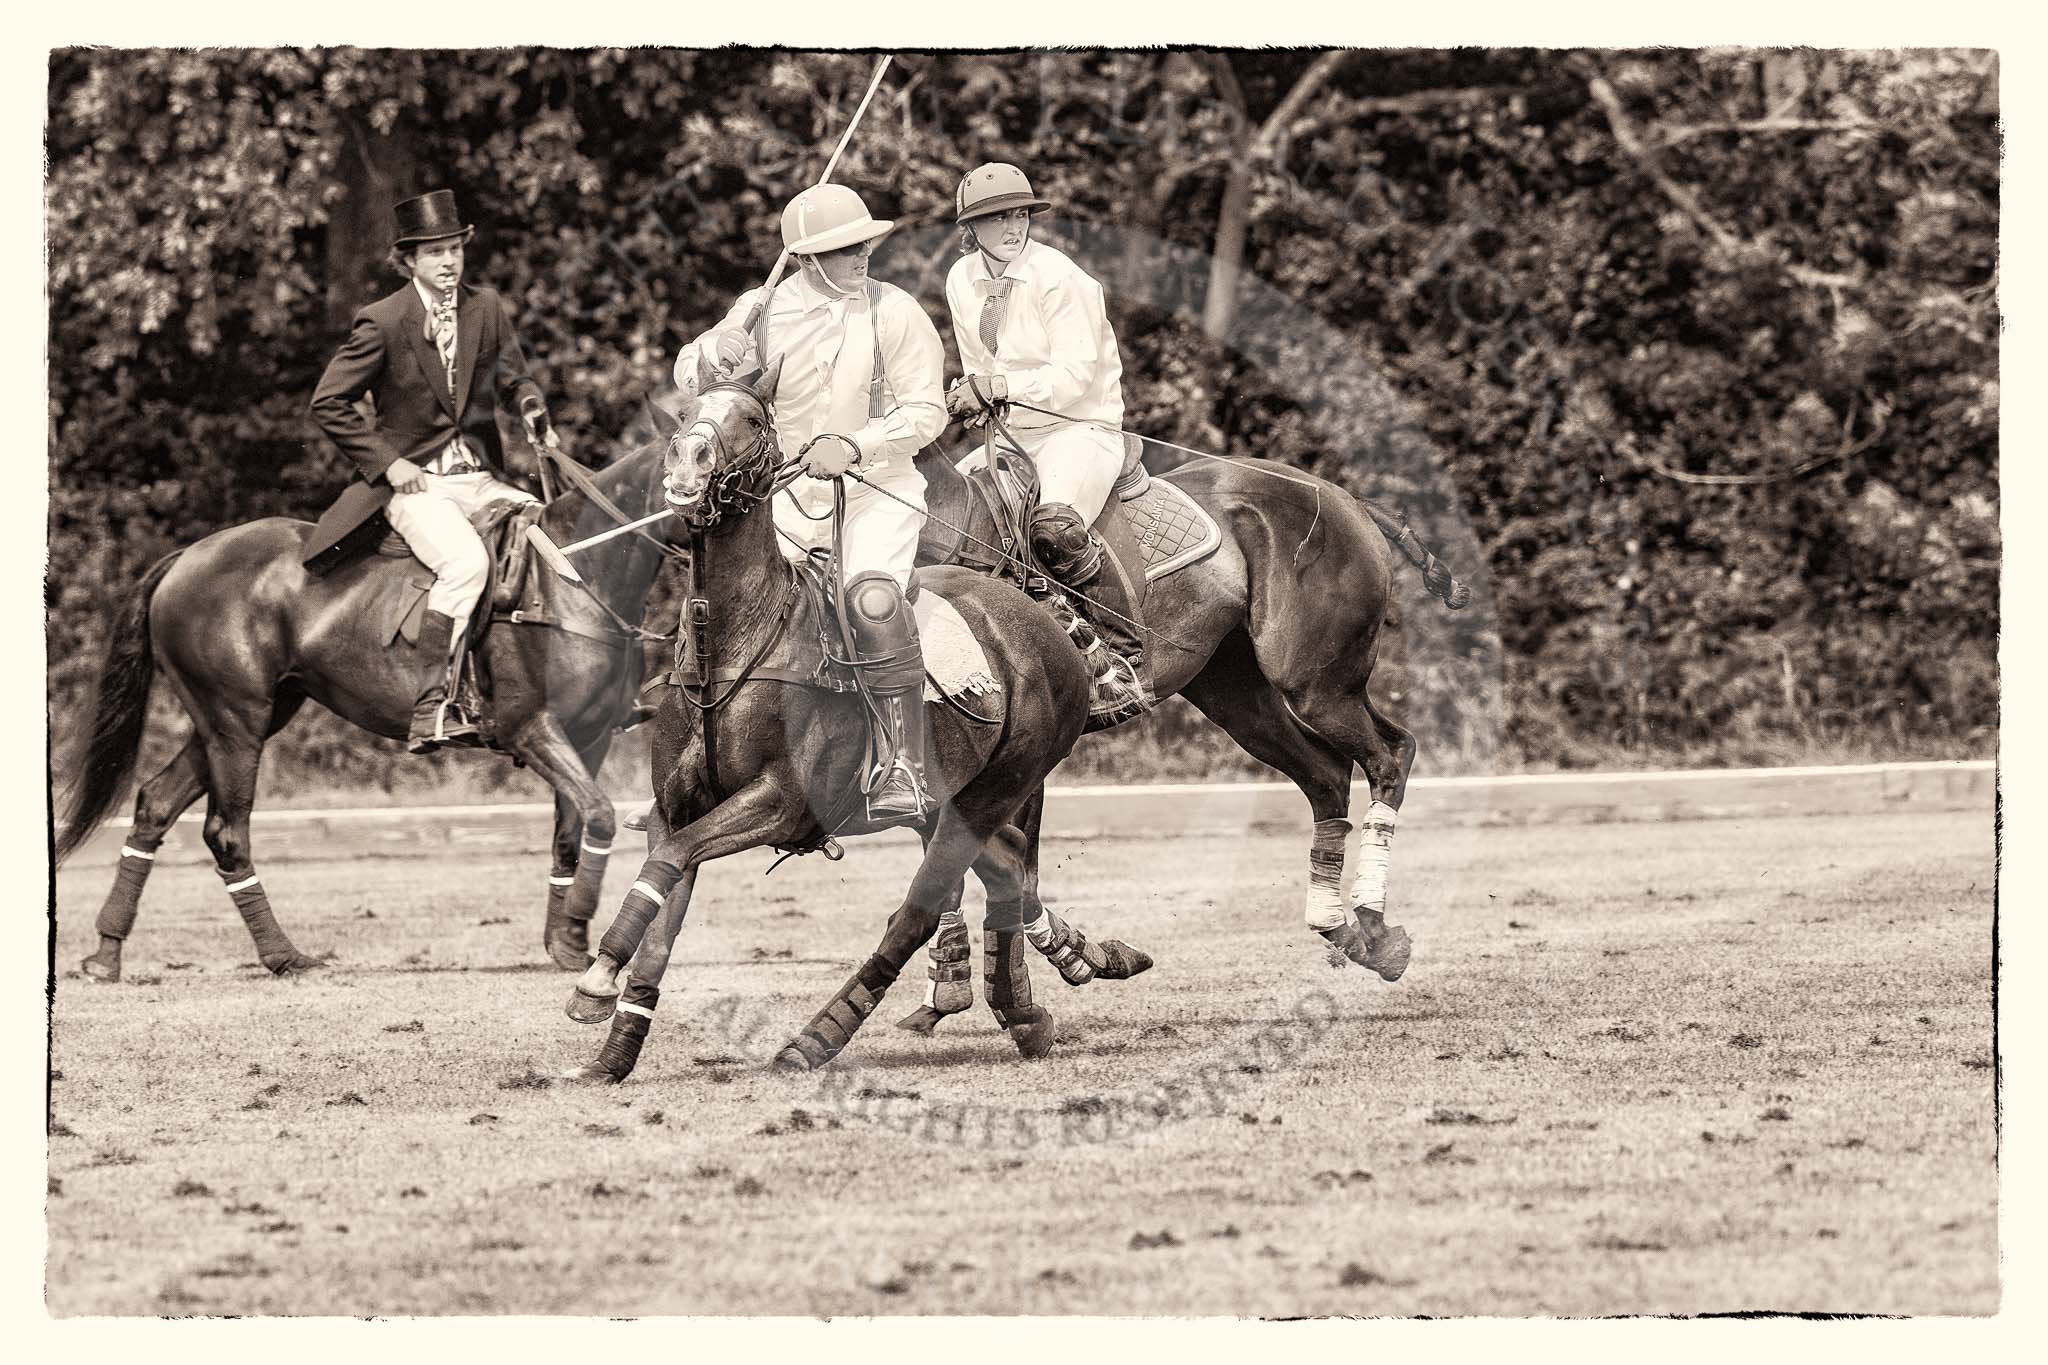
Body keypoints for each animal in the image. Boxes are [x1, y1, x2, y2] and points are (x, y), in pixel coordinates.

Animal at [48, 427, 684, 982]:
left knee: (155, 804)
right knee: (227, 832)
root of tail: (183, 558)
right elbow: (599, 813)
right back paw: (284, 956)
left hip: (245, 715)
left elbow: (571, 834)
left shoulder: (588, 737)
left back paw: (106, 953)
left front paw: (565, 942)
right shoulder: (530, 728)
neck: (575, 581)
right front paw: (577, 935)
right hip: (234, 718)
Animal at [561, 366, 1163, 1088]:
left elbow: (669, 861)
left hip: (997, 783)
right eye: (685, 414)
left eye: (754, 420)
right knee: (1008, 868)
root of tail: (1045, 618)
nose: (688, 463)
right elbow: (664, 896)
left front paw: (595, 980)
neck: (735, 642)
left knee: (923, 909)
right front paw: (613, 1047)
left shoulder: (782, 803)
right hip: (952, 801)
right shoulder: (676, 807)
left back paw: (817, 1037)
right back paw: (1047, 994)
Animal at [897, 427, 1474, 1035]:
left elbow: (1007, 870)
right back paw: (1346, 930)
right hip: (1236, 692)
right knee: (1331, 773)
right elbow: (958, 867)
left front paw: (1075, 964)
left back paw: (1372, 922)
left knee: (1388, 756)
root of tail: (1346, 497)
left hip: (1316, 683)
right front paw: (949, 991)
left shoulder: (1023, 755)